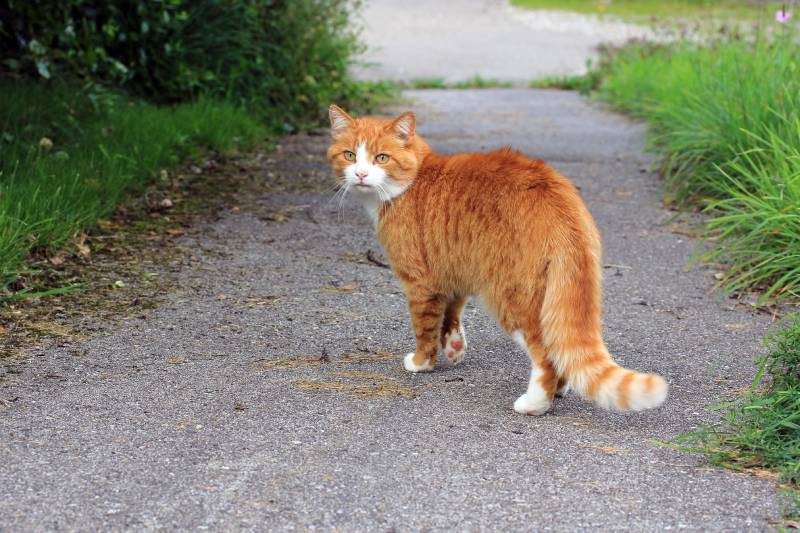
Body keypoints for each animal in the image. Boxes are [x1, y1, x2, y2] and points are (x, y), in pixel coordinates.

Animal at [326, 102, 668, 414]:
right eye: (350, 155)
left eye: (381, 158)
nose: (360, 174)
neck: (414, 179)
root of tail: (559, 200)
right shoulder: (454, 266)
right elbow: (451, 313)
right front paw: (454, 347)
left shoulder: (421, 283)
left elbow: (424, 327)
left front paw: (422, 362)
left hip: (511, 296)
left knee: (545, 356)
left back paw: (535, 403)